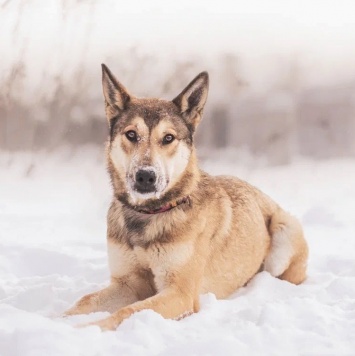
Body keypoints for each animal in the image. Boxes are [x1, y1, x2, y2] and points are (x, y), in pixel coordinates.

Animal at [65, 64, 310, 330]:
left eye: (168, 138)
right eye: (131, 135)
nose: (145, 176)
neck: (150, 214)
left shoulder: (180, 293)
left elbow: (127, 312)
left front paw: (87, 328)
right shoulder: (127, 283)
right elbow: (83, 302)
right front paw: (55, 321)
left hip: (284, 231)